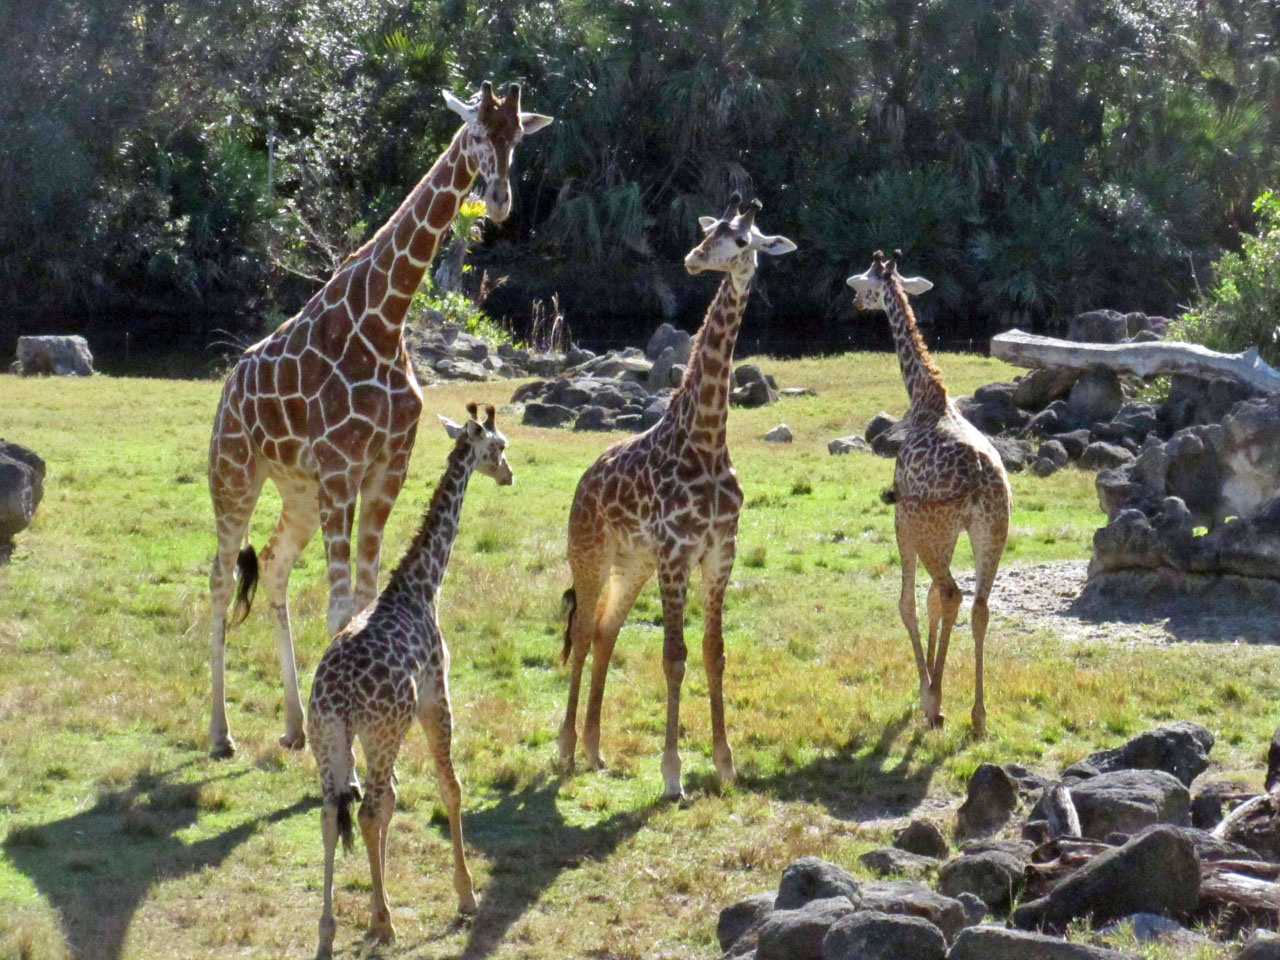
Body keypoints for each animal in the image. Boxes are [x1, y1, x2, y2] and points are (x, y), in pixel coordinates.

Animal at [206, 82, 550, 758]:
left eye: (518, 136)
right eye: (476, 133)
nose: (499, 202)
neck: (385, 320)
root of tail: (227, 389)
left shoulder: (388, 467)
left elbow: (362, 600)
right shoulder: (343, 470)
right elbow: (341, 608)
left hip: (298, 490)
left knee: (276, 570)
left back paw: (293, 727)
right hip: (235, 475)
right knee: (219, 579)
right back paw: (219, 734)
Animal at [308, 402, 511, 959]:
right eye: (500, 446)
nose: (509, 474)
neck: (422, 584)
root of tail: (337, 697)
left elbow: (397, 801)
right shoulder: (436, 696)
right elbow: (451, 785)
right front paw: (465, 894)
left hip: (327, 738)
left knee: (333, 814)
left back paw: (329, 931)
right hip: (377, 733)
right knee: (366, 811)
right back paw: (386, 923)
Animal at [558, 194, 796, 799]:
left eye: (744, 240)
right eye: (711, 230)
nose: (693, 259)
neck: (706, 438)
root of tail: (583, 480)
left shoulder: (719, 553)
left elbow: (714, 654)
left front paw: (726, 764)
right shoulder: (676, 553)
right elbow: (673, 657)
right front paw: (672, 775)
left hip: (632, 562)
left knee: (604, 631)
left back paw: (594, 750)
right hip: (590, 552)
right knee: (581, 629)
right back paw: (566, 749)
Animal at [846, 251, 1010, 736]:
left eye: (865, 283)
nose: (856, 301)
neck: (925, 397)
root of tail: (979, 476)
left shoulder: (903, 518)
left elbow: (909, 603)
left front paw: (927, 694)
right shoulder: (951, 532)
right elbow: (933, 602)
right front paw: (936, 691)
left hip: (928, 527)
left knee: (951, 594)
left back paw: (936, 700)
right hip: (992, 531)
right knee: (978, 604)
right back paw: (978, 715)